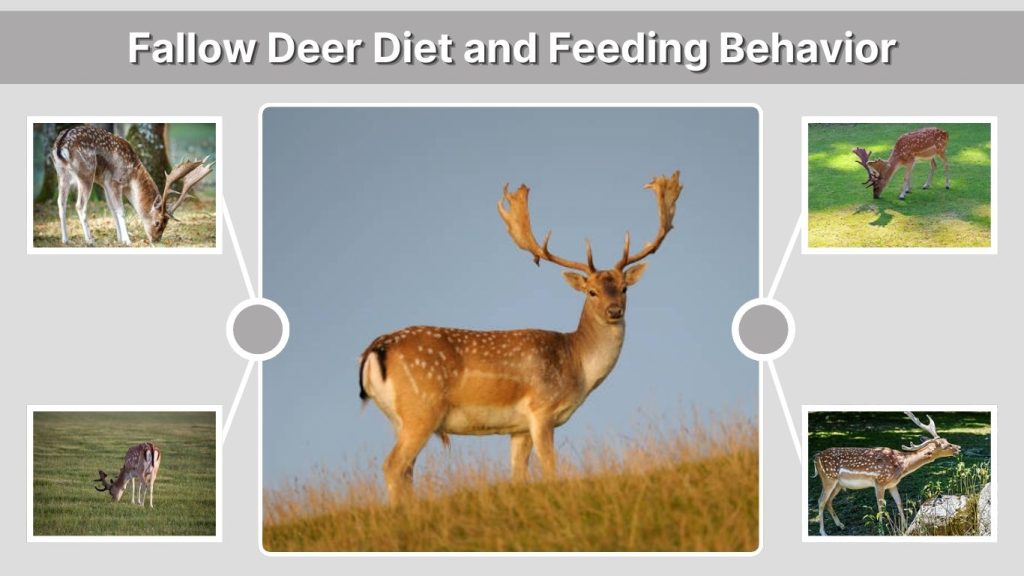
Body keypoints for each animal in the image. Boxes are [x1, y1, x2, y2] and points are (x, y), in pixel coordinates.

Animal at [51, 124, 213, 246]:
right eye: (157, 223)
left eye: (166, 224)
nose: (156, 240)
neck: (133, 176)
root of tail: (61, 145)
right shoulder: (115, 181)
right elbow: (121, 210)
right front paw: (127, 240)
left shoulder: (105, 183)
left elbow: (112, 209)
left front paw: (119, 238)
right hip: (86, 173)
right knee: (79, 205)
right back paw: (90, 240)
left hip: (62, 173)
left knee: (61, 203)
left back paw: (66, 240)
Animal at [358, 171, 682, 504]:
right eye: (591, 292)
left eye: (624, 288)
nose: (614, 310)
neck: (577, 366)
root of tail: (375, 349)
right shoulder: (541, 410)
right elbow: (550, 469)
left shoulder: (518, 428)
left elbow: (518, 476)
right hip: (421, 409)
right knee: (393, 466)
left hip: (399, 418)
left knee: (407, 470)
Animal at [811, 412, 961, 536]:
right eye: (944, 446)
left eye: (947, 440)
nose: (958, 448)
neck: (900, 466)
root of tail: (816, 457)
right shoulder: (879, 482)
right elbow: (881, 508)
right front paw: (881, 531)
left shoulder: (892, 484)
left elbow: (899, 503)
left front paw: (904, 527)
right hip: (828, 478)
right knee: (820, 501)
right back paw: (823, 532)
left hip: (838, 484)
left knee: (828, 501)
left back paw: (841, 525)